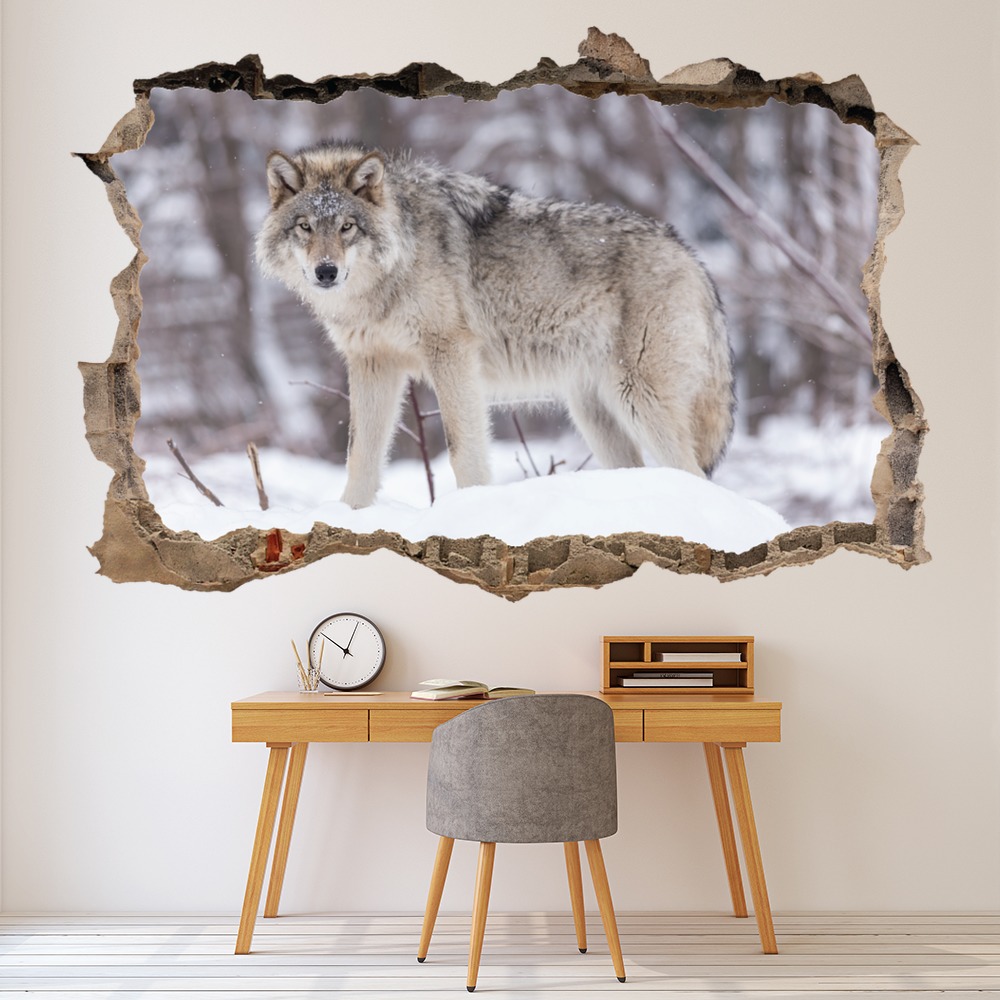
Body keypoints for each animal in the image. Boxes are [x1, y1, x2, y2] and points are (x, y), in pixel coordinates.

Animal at [255, 140, 734, 509]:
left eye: (347, 227)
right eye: (305, 227)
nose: (326, 272)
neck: (391, 271)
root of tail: (691, 256)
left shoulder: (450, 353)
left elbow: (462, 449)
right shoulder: (372, 363)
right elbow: (360, 456)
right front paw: (350, 515)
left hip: (638, 399)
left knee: (693, 472)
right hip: (595, 412)